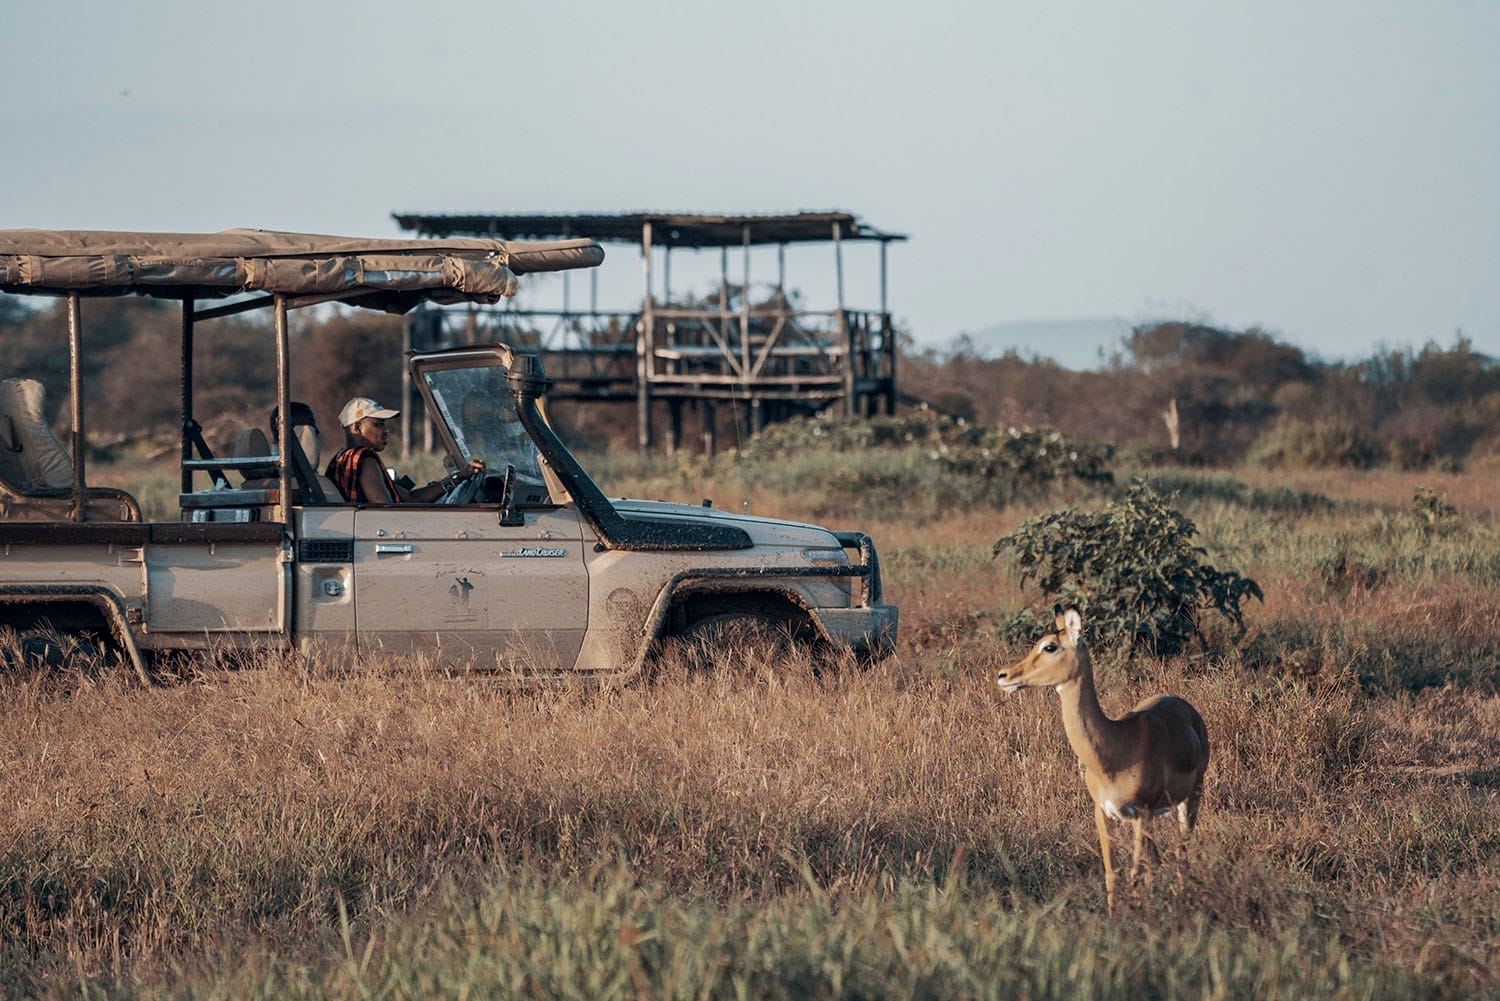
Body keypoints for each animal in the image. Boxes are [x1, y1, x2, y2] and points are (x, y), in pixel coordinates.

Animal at [996, 606, 1206, 912]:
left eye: (1050, 646)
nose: (1004, 675)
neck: (1114, 749)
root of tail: (1188, 709)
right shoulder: (1104, 813)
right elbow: (1113, 873)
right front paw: (1113, 915)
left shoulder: (1140, 813)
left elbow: (1133, 871)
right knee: (1157, 860)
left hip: (1189, 801)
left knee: (1181, 855)